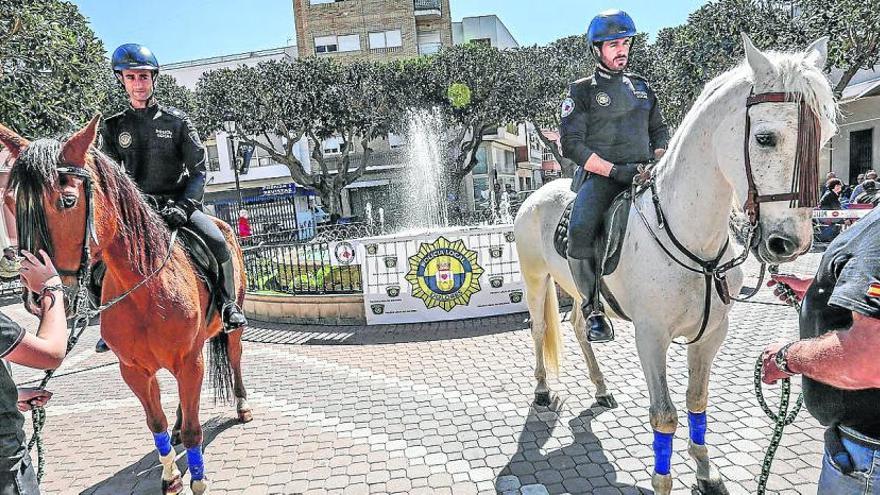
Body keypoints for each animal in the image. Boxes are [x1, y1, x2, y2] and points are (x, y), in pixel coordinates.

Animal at [0, 117, 254, 495]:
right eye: (12, 202)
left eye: (68, 201)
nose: (34, 293)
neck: (146, 291)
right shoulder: (134, 370)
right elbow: (155, 422)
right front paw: (171, 476)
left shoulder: (190, 361)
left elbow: (195, 430)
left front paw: (197, 478)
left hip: (230, 325)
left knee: (234, 359)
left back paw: (242, 405)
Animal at [512, 35, 836, 495]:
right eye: (766, 138)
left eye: (825, 137)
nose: (789, 243)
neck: (692, 238)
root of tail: (537, 194)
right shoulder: (651, 337)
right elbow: (664, 416)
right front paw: (664, 479)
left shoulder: (712, 335)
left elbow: (697, 402)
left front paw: (705, 471)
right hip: (536, 279)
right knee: (540, 329)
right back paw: (542, 389)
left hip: (577, 289)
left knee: (578, 323)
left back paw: (601, 387)